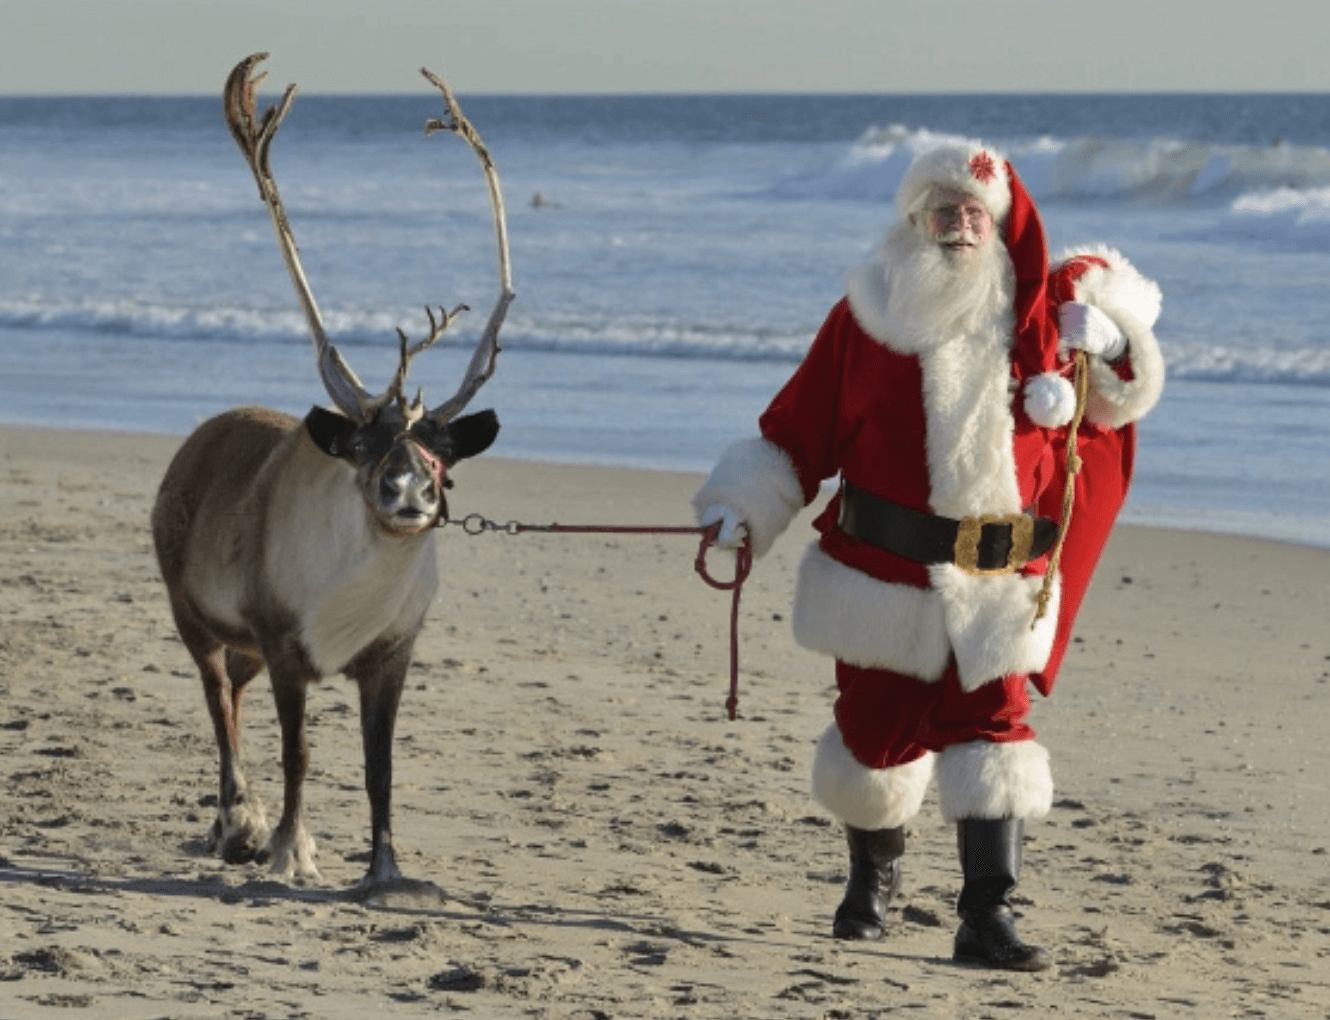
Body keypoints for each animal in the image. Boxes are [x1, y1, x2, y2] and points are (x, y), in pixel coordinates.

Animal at [151, 53, 514, 894]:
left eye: (442, 449)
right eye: (360, 445)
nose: (408, 490)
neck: (350, 601)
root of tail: (200, 436)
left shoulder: (391, 654)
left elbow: (380, 769)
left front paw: (386, 870)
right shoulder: (287, 646)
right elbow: (300, 754)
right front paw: (290, 849)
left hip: (244, 643)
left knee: (233, 696)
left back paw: (229, 825)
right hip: (194, 615)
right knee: (218, 707)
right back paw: (237, 825)